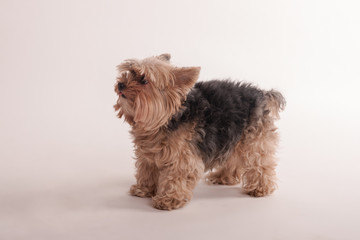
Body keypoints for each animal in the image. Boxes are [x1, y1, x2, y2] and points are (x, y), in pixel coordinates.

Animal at [114, 53, 286, 210]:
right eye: (130, 72)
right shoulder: (148, 153)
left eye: (144, 80)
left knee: (260, 161)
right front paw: (144, 189)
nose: (121, 84)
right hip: (232, 134)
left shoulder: (182, 157)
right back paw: (223, 177)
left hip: (254, 139)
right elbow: (147, 170)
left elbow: (177, 176)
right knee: (233, 157)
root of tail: (262, 94)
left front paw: (169, 199)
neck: (165, 119)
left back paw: (260, 188)